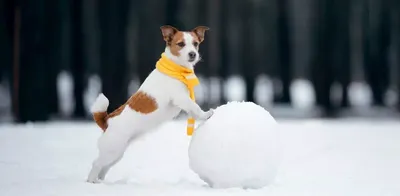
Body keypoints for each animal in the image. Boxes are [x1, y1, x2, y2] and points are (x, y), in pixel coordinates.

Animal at [86, 25, 214, 183]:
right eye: (181, 44)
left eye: (195, 43)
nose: (193, 54)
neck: (176, 69)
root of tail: (106, 121)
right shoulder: (181, 98)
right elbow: (195, 106)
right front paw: (206, 114)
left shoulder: (184, 101)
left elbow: (193, 110)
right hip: (112, 149)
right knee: (97, 163)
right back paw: (92, 181)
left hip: (117, 152)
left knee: (105, 167)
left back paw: (101, 181)